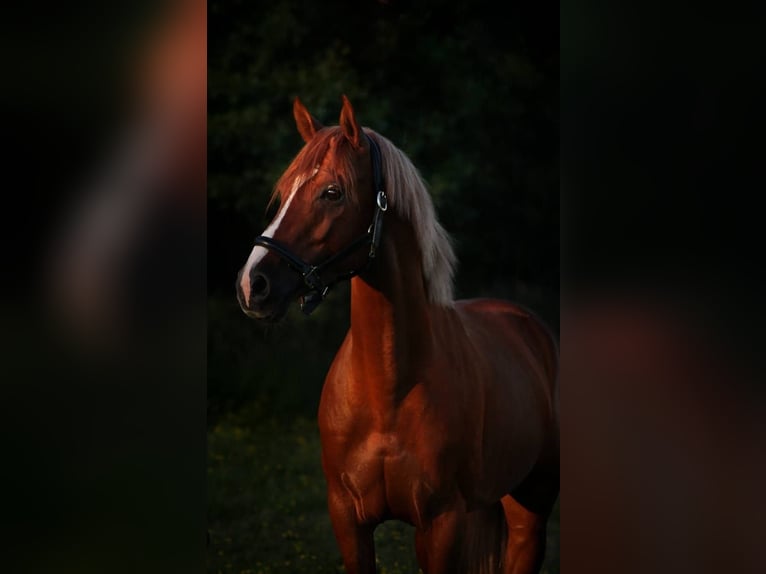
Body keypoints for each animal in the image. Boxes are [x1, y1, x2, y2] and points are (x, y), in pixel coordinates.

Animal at [237, 95, 559, 574]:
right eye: (283, 193)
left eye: (332, 192)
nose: (252, 284)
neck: (386, 388)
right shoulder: (347, 521)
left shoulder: (441, 525)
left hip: (530, 515)